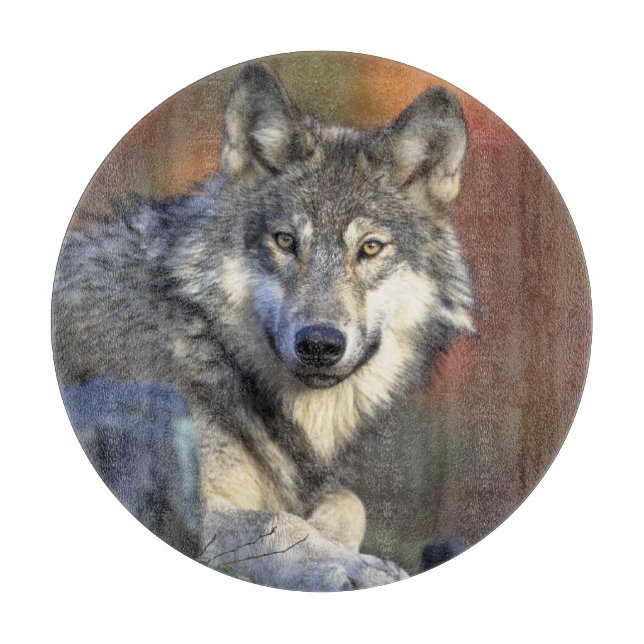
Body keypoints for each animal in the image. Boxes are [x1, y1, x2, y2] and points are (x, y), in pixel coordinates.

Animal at [52, 61, 474, 590]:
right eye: (286, 240)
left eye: (371, 248)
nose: (320, 344)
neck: (207, 344)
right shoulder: (190, 506)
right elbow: (279, 521)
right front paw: (353, 565)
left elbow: (348, 501)